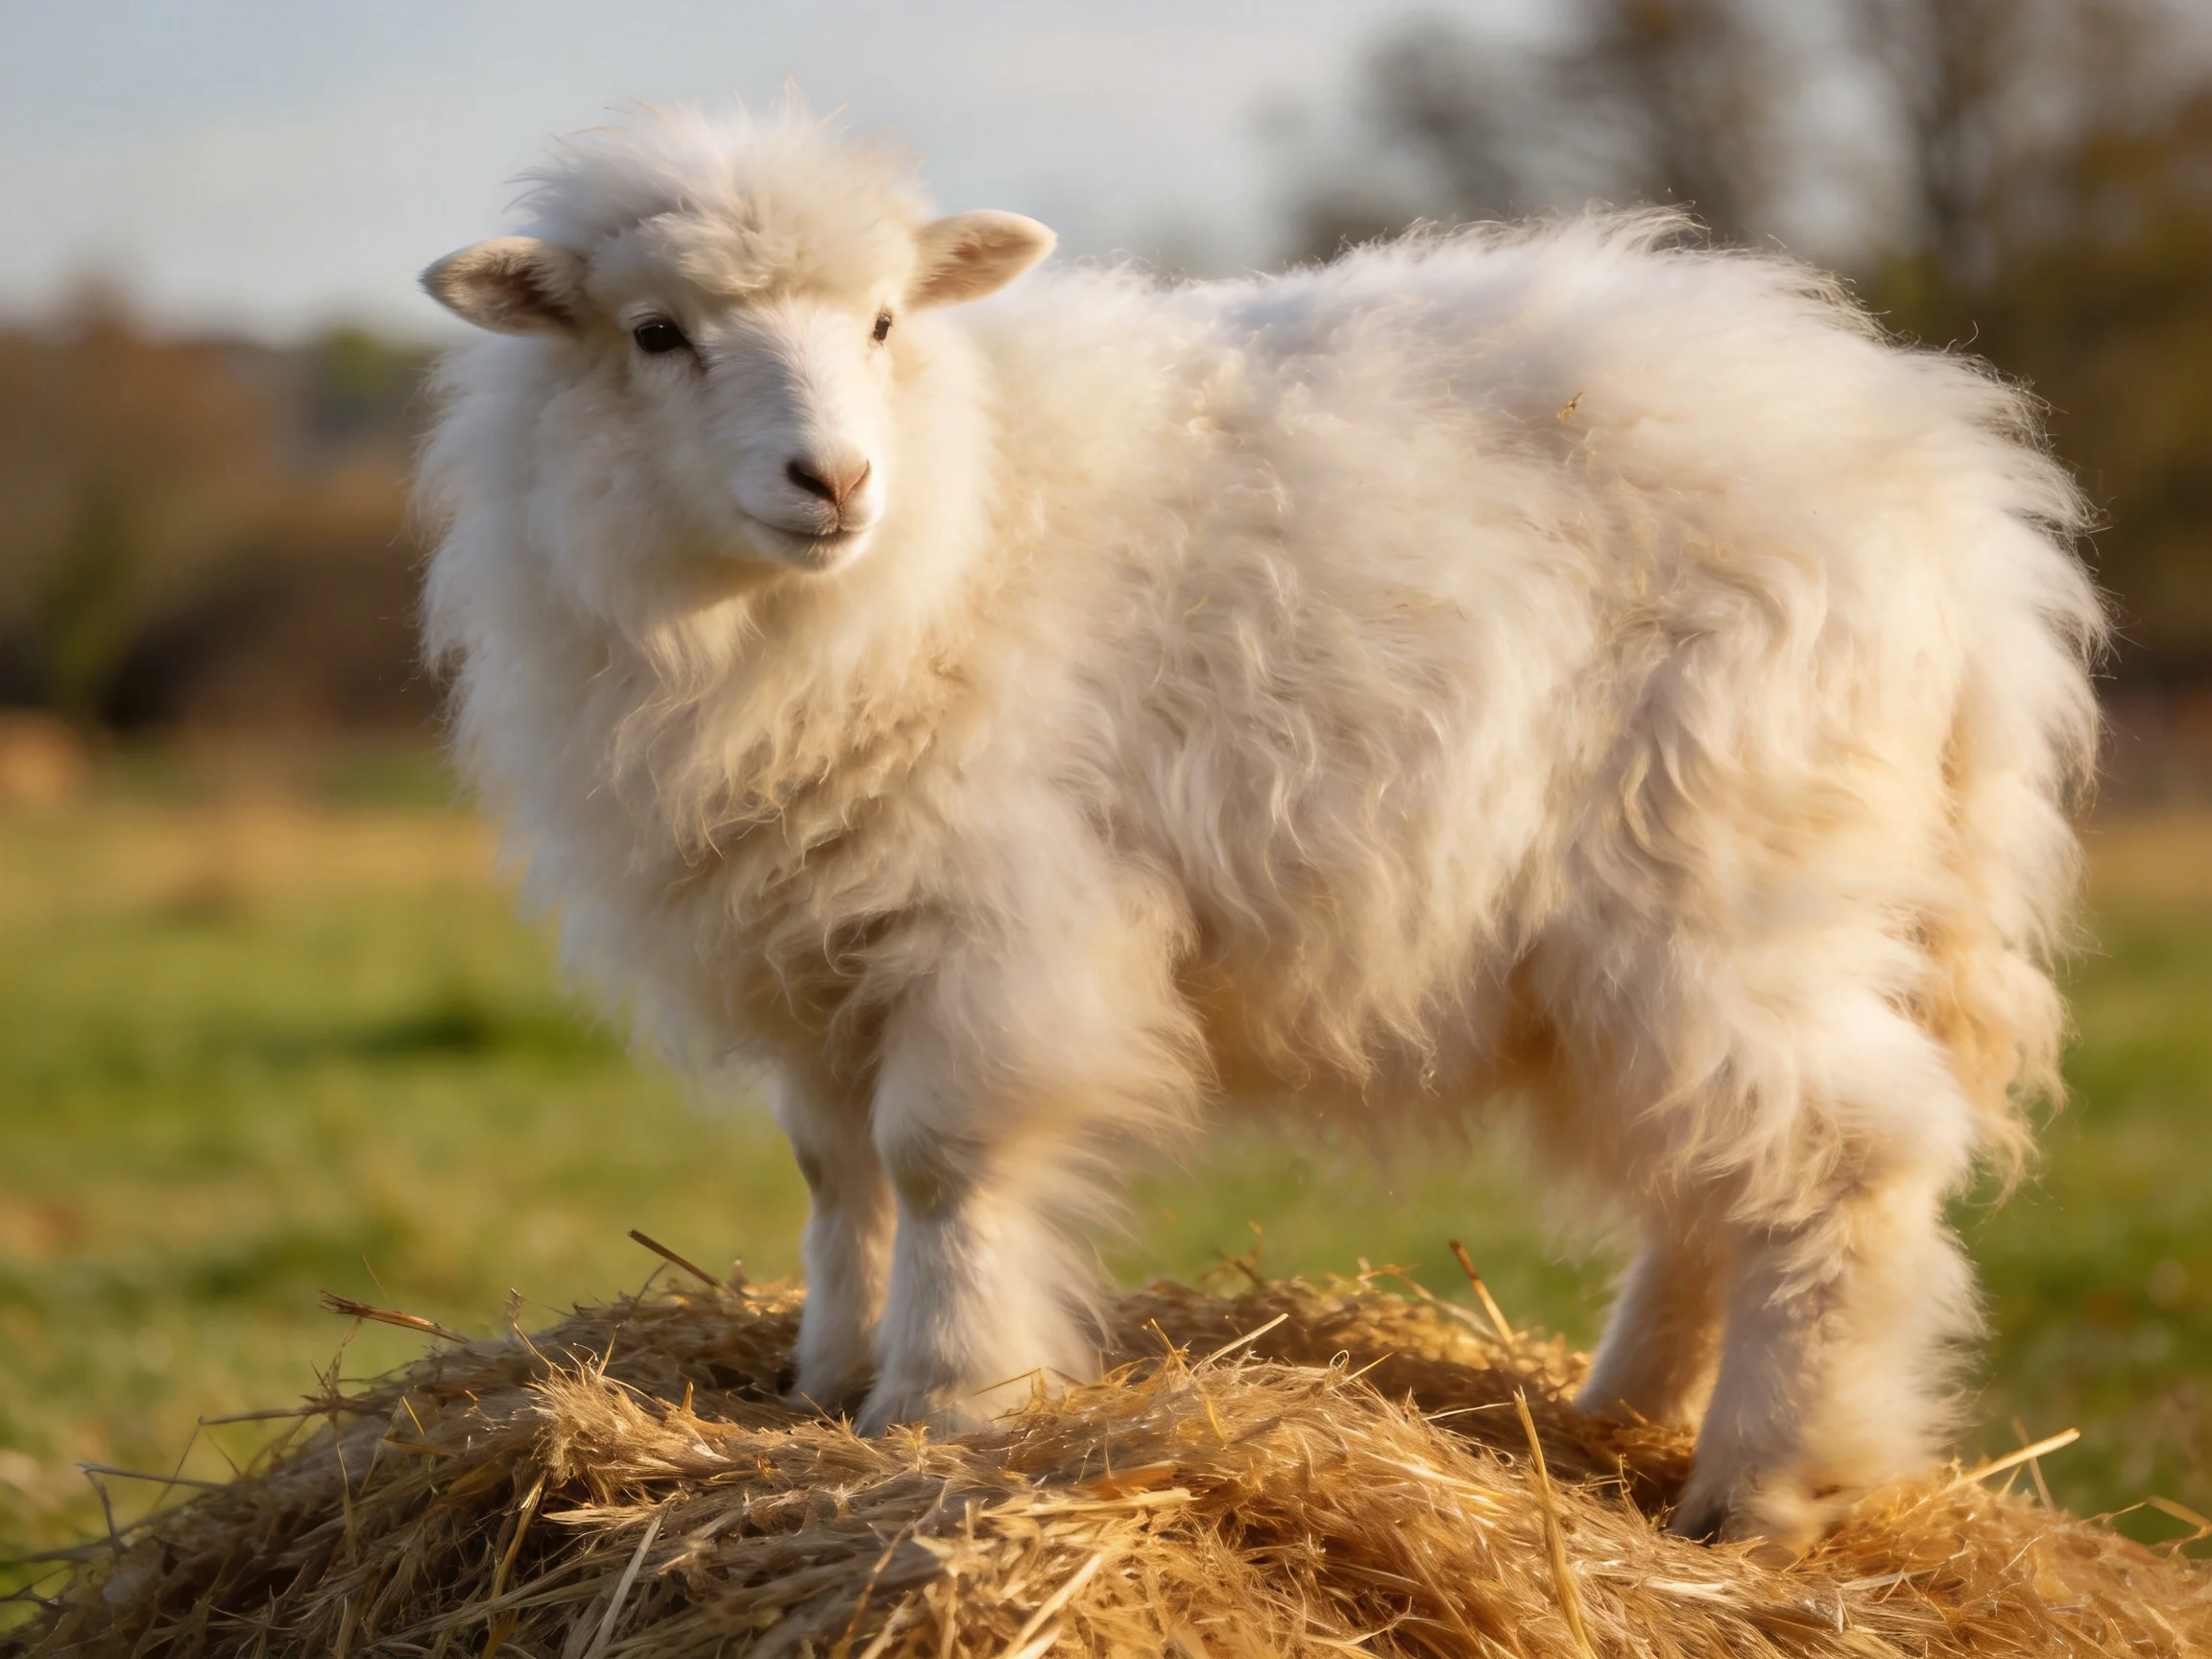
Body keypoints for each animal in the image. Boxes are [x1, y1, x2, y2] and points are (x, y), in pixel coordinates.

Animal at [417, 104, 2103, 1550]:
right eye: (656, 335)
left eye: (888, 323)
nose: (831, 481)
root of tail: (1952, 497)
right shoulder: (818, 934)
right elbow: (838, 1171)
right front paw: (827, 1383)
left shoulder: (999, 913)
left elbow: (944, 1159)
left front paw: (946, 1402)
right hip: (1647, 940)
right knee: (1717, 1179)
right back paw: (1623, 1410)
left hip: (1738, 883)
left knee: (1846, 1159)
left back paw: (1764, 1489)